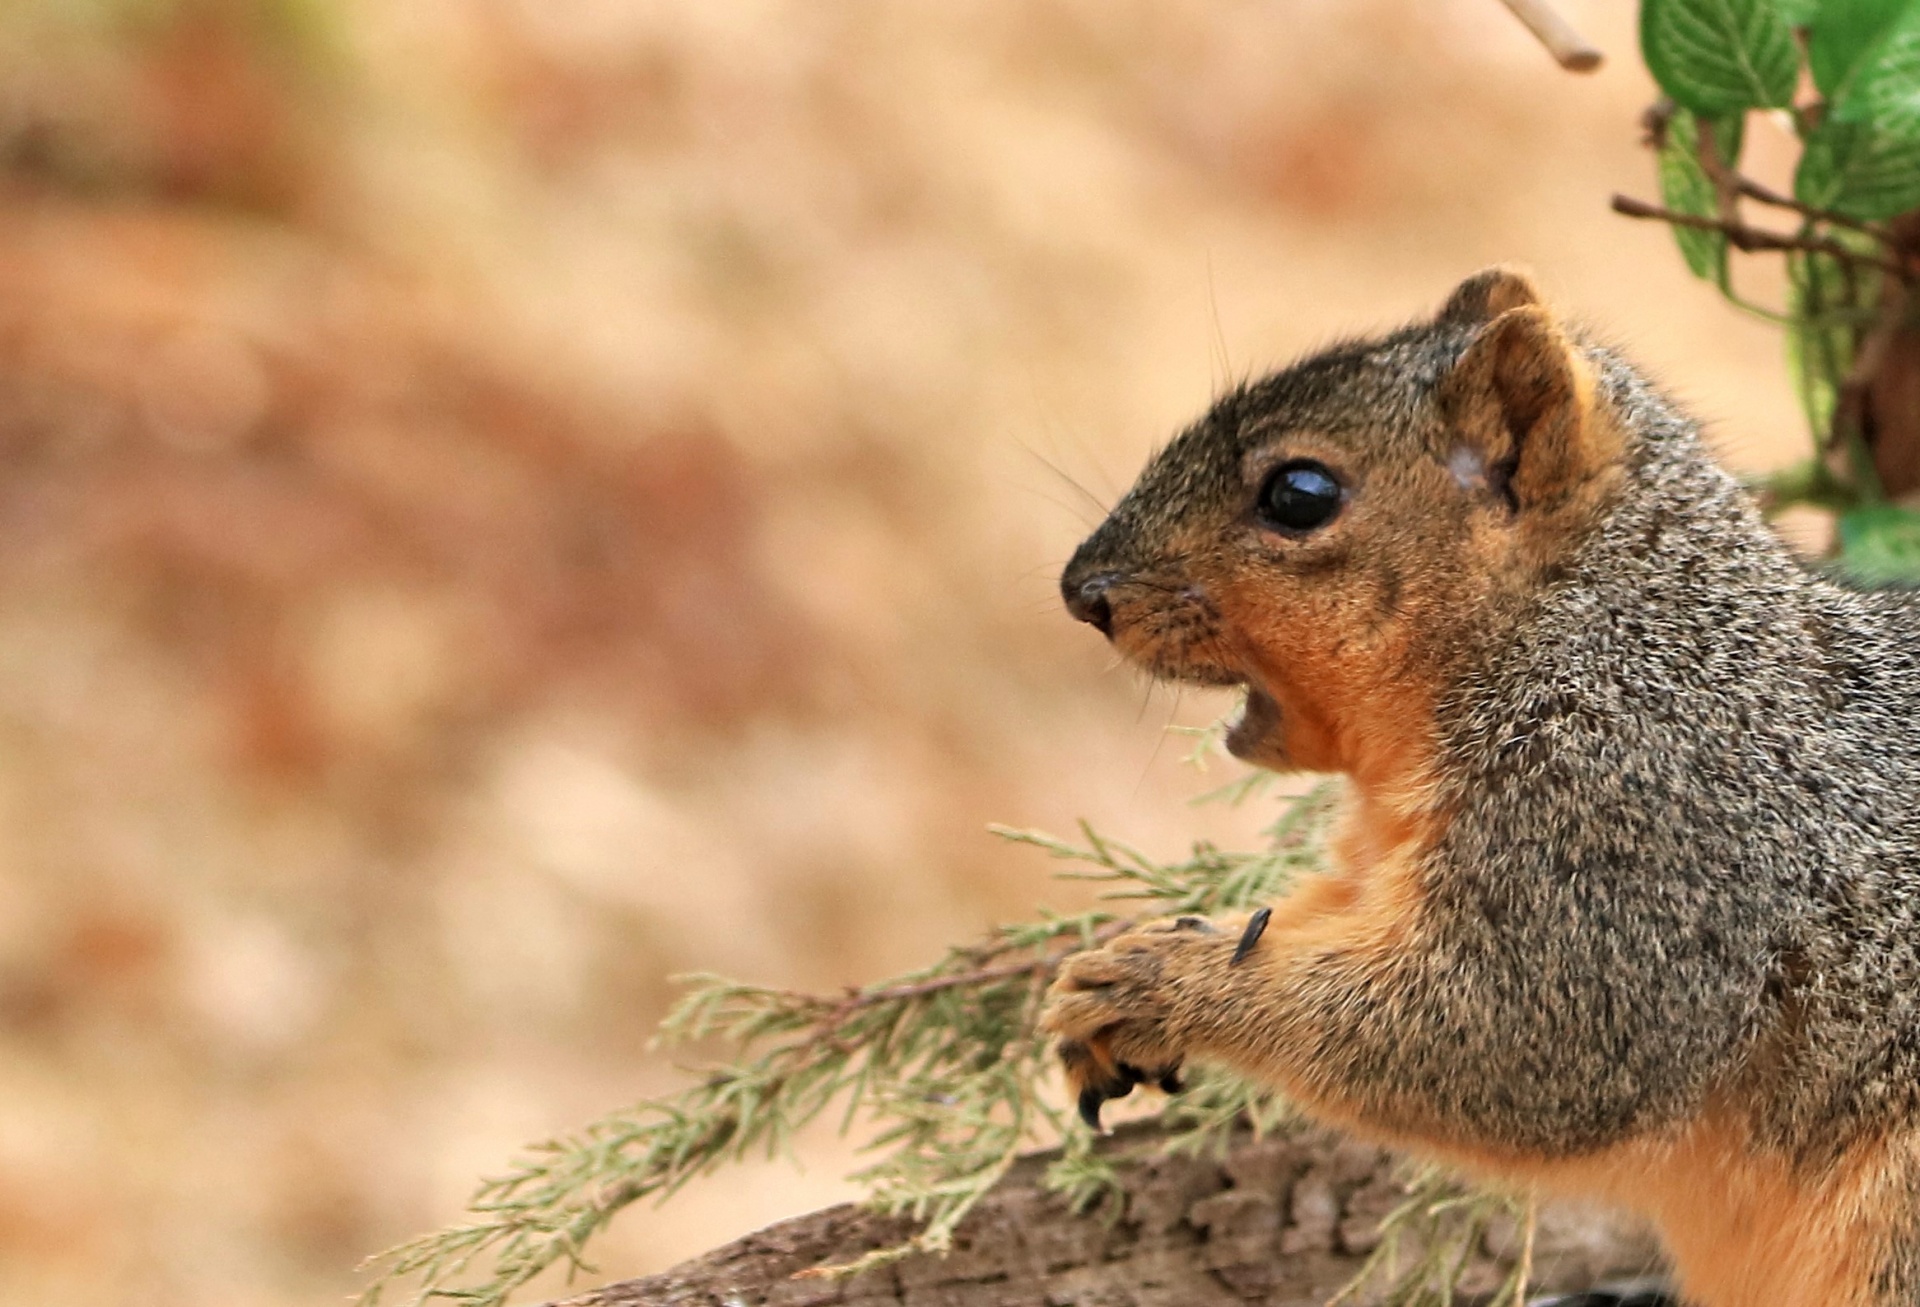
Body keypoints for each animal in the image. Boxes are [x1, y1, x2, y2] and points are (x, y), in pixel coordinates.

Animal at [1044, 270, 1920, 1305]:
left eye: (1299, 494)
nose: (1082, 592)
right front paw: (1123, 969)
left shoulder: (1635, 826)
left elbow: (1506, 1036)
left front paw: (1166, 981)